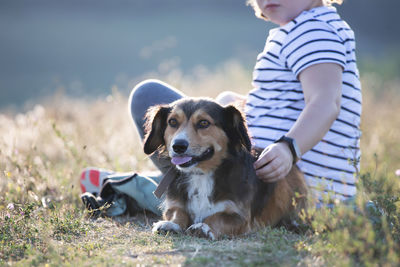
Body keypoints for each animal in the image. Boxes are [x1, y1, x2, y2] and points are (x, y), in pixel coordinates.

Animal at [143, 97, 306, 240]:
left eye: (203, 123)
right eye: (172, 122)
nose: (178, 146)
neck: (201, 174)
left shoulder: (240, 217)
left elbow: (217, 217)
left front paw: (204, 227)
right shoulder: (175, 205)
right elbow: (178, 213)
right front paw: (171, 224)